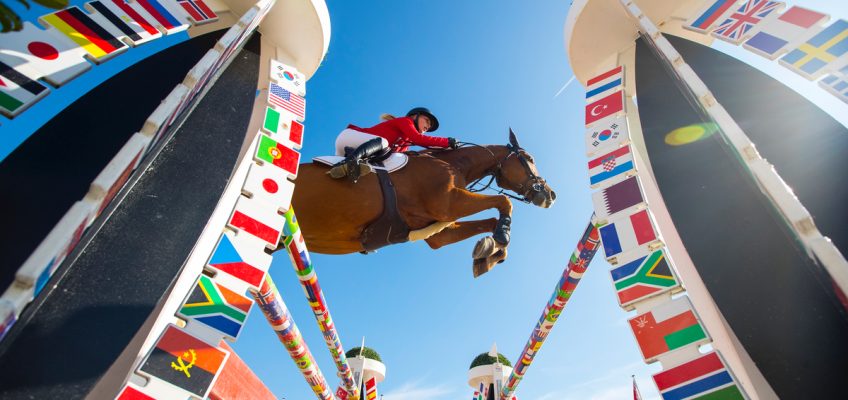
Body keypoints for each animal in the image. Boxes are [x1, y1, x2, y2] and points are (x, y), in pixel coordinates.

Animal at [290, 130, 556, 276]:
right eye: (530, 159)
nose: (551, 195)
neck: (453, 164)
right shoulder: (448, 203)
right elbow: (504, 202)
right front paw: (499, 239)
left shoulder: (439, 231)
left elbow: (490, 221)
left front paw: (488, 253)